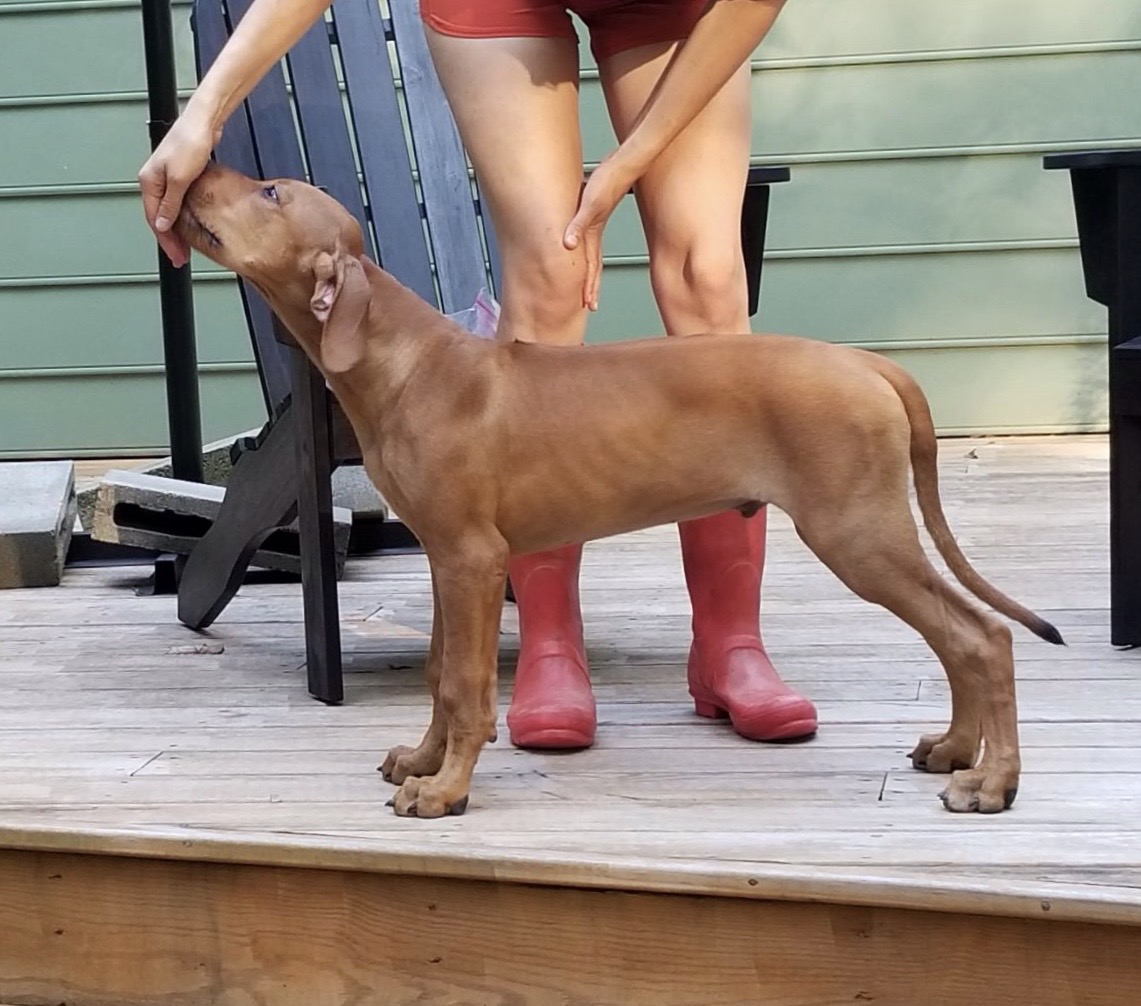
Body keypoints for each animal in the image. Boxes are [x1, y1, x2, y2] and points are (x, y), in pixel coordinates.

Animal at [177, 164, 1058, 821]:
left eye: (270, 193)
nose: (195, 167)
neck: (406, 360)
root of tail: (867, 361)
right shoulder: (442, 557)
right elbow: (436, 673)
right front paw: (422, 761)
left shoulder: (471, 558)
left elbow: (465, 684)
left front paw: (447, 790)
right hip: (866, 532)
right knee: (959, 637)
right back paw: (954, 749)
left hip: (856, 532)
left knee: (982, 636)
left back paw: (991, 782)